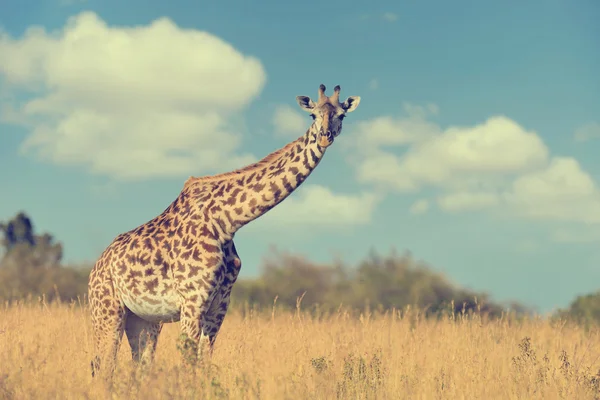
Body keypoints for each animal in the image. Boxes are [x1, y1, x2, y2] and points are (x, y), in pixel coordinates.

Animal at [88, 83, 360, 378]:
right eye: (313, 115)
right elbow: (188, 360)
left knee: (140, 367)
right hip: (107, 310)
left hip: (143, 319)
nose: (325, 137)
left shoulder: (219, 304)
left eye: (341, 115)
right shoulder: (192, 301)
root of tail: (96, 267)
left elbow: (205, 361)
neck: (227, 222)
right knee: (104, 365)